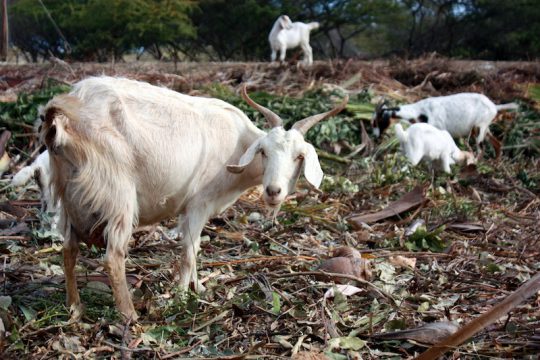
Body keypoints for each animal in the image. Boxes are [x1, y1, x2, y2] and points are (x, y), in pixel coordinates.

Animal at [40, 75, 348, 318]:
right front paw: (180, 296)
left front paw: (197, 287)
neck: (238, 146)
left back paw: (74, 307)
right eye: (264, 152)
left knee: (68, 249)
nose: (273, 191)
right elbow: (189, 252)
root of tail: (65, 112)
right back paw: (129, 315)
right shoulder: (199, 202)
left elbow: (196, 247)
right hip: (117, 194)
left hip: (69, 193)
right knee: (113, 257)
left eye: (299, 156)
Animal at [372, 92, 520, 155]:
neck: (420, 111)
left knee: (481, 149)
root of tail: (494, 106)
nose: (375, 137)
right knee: (497, 144)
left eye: (376, 122)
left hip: (480, 127)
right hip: (484, 127)